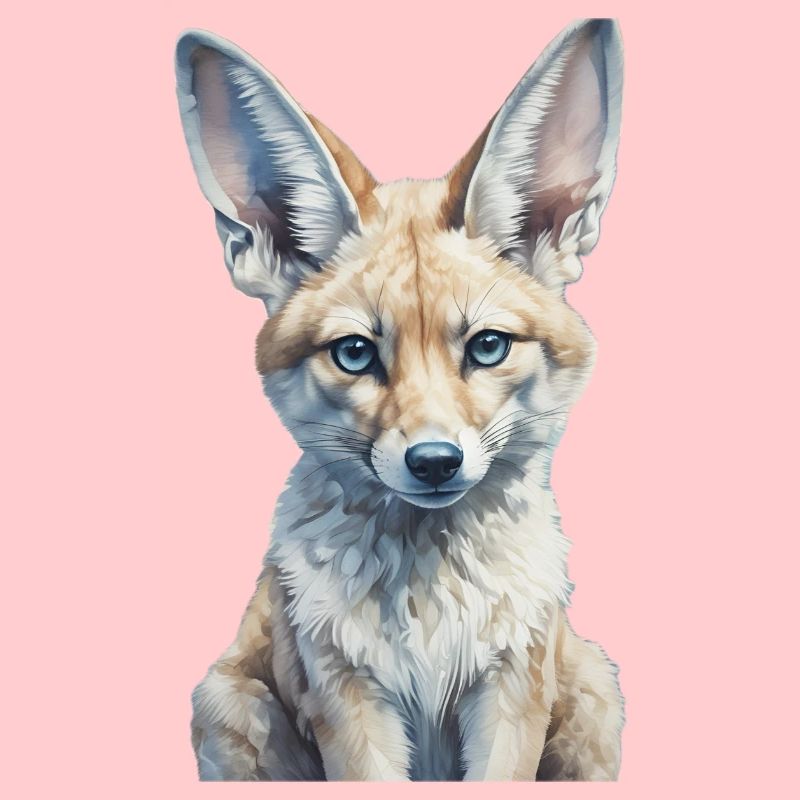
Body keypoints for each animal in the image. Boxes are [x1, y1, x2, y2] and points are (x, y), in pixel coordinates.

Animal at [175, 18, 624, 781]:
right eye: (356, 353)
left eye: (487, 346)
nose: (435, 462)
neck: (431, 608)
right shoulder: (347, 698)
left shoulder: (512, 690)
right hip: (226, 705)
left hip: (596, 693)